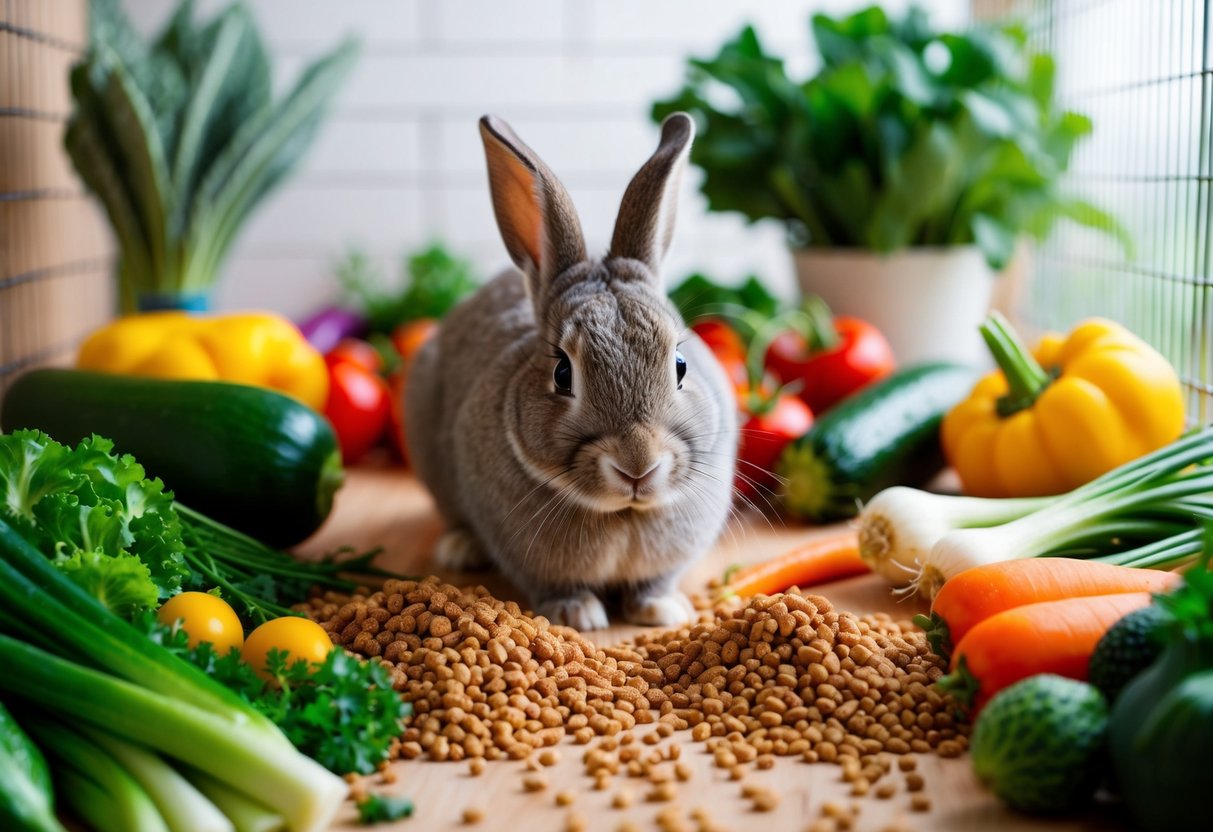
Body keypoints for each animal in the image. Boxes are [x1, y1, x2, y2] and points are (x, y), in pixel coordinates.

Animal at [404, 112, 737, 630]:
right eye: (563, 373)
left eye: (681, 365)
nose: (638, 466)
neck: (621, 513)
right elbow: (553, 584)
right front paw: (578, 615)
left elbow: (655, 581)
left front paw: (661, 610)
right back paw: (460, 548)